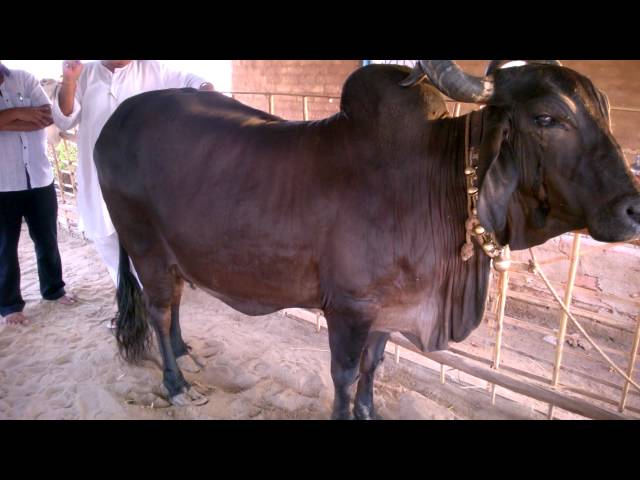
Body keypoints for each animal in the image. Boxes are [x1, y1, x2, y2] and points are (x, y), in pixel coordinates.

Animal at [94, 60, 640, 419]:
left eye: (606, 114)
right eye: (548, 118)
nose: (633, 209)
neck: (434, 184)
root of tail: (115, 122)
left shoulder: (390, 310)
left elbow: (373, 367)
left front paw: (369, 411)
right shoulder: (349, 309)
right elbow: (344, 373)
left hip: (172, 255)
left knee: (175, 305)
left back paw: (186, 352)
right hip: (145, 246)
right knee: (159, 311)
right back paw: (175, 382)